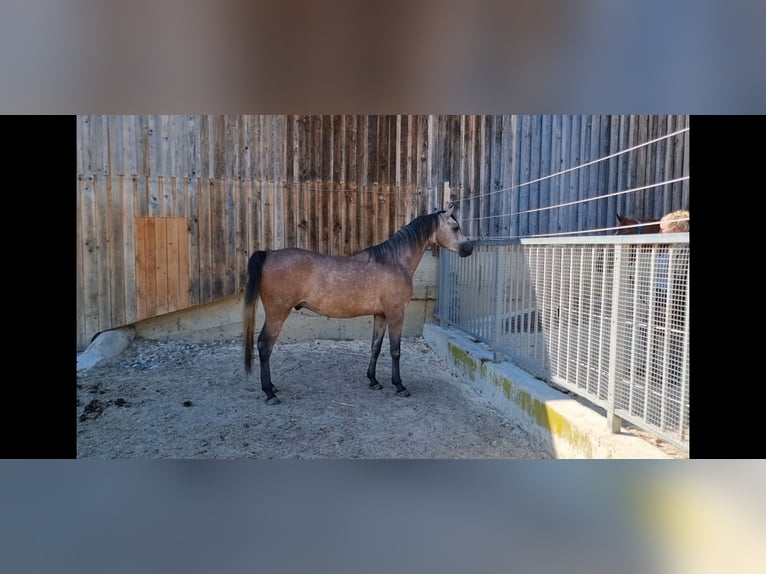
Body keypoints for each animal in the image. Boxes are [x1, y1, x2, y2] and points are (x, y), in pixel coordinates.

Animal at [244, 206, 474, 404]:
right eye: (455, 227)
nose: (469, 248)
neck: (394, 262)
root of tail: (268, 254)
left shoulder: (381, 315)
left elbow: (376, 347)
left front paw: (373, 380)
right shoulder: (396, 314)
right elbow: (395, 350)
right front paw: (399, 385)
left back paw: (272, 388)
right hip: (277, 314)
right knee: (264, 346)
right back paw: (269, 392)